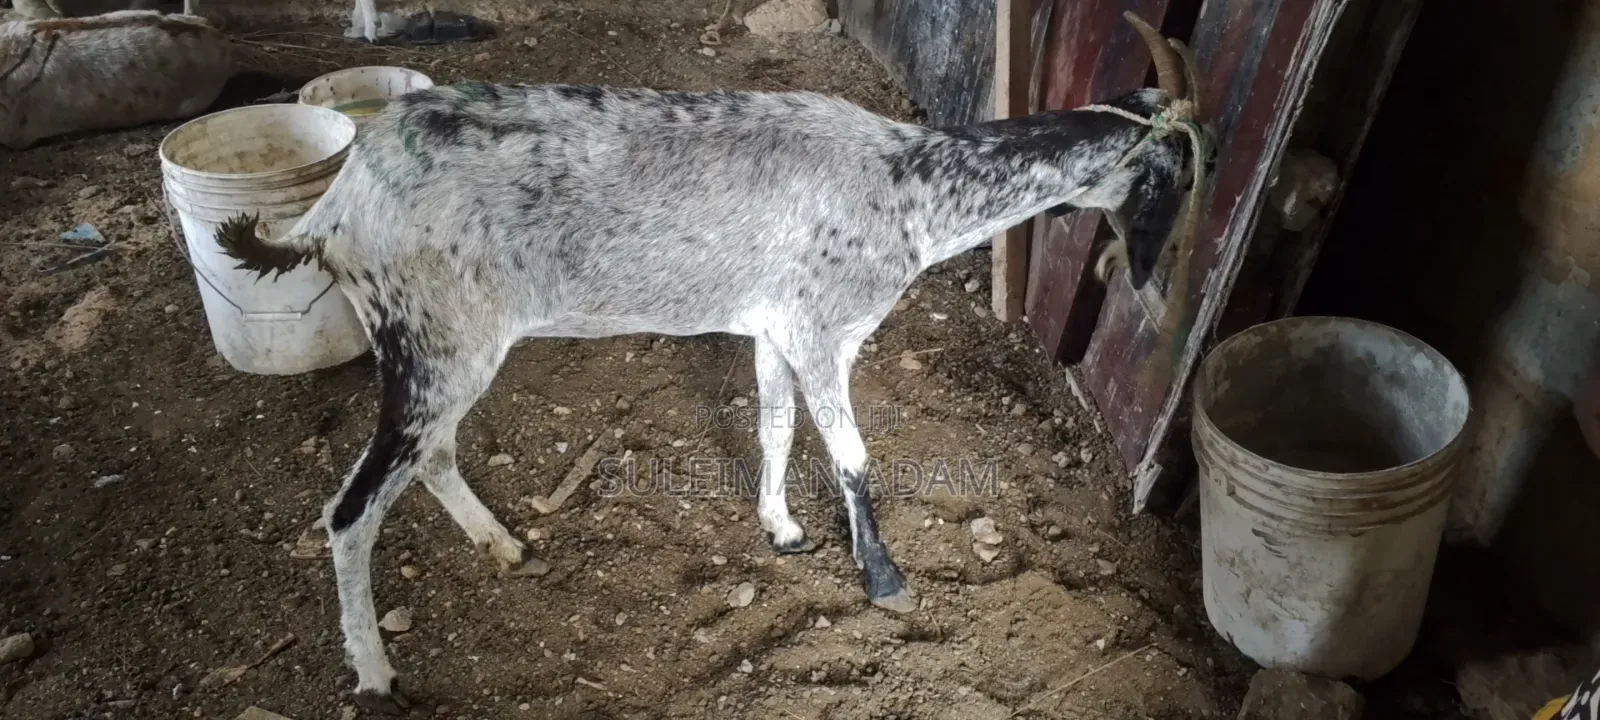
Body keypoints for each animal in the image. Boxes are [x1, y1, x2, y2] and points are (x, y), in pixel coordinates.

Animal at [213, 14, 1203, 713]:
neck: (912, 184)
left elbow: (775, 428)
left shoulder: (774, 328)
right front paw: (883, 579)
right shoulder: (823, 327)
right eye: (1188, 171)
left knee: (433, 456)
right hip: (433, 340)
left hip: (450, 347)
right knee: (351, 511)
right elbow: (851, 455)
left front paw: (782, 529)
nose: (1159, 281)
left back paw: (502, 544)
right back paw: (376, 672)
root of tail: (336, 204)